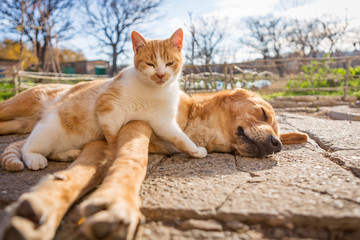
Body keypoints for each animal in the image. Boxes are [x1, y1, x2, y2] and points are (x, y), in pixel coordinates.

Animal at [0, 83, 306, 240]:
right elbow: (134, 160)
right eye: (263, 113)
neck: (191, 124)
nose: (277, 145)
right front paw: (118, 202)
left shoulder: (102, 144)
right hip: (16, 107)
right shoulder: (133, 125)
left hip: (21, 124)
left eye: (278, 133)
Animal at [12, 28, 207, 171]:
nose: (160, 74)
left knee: (53, 153)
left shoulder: (162, 121)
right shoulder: (108, 106)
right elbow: (112, 135)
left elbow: (178, 137)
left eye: (169, 63)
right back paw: (35, 158)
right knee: (28, 148)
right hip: (48, 131)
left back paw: (71, 154)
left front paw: (194, 150)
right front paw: (114, 151)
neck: (153, 92)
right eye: (150, 64)